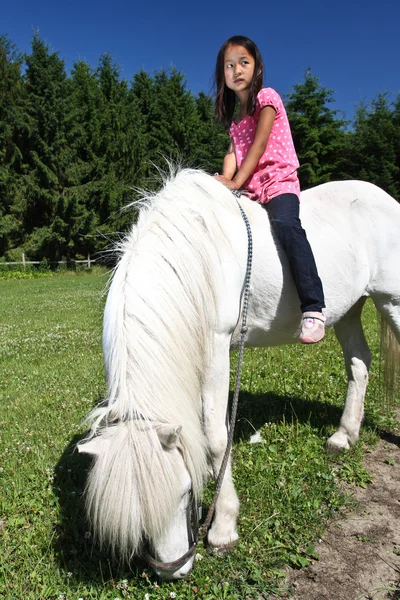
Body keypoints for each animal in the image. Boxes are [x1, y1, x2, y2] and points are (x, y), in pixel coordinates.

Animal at [78, 168, 400, 576]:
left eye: (185, 492)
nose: (173, 571)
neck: (193, 257)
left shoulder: (216, 348)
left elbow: (217, 436)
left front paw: (223, 528)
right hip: (350, 309)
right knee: (359, 363)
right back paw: (344, 436)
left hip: (392, 300)